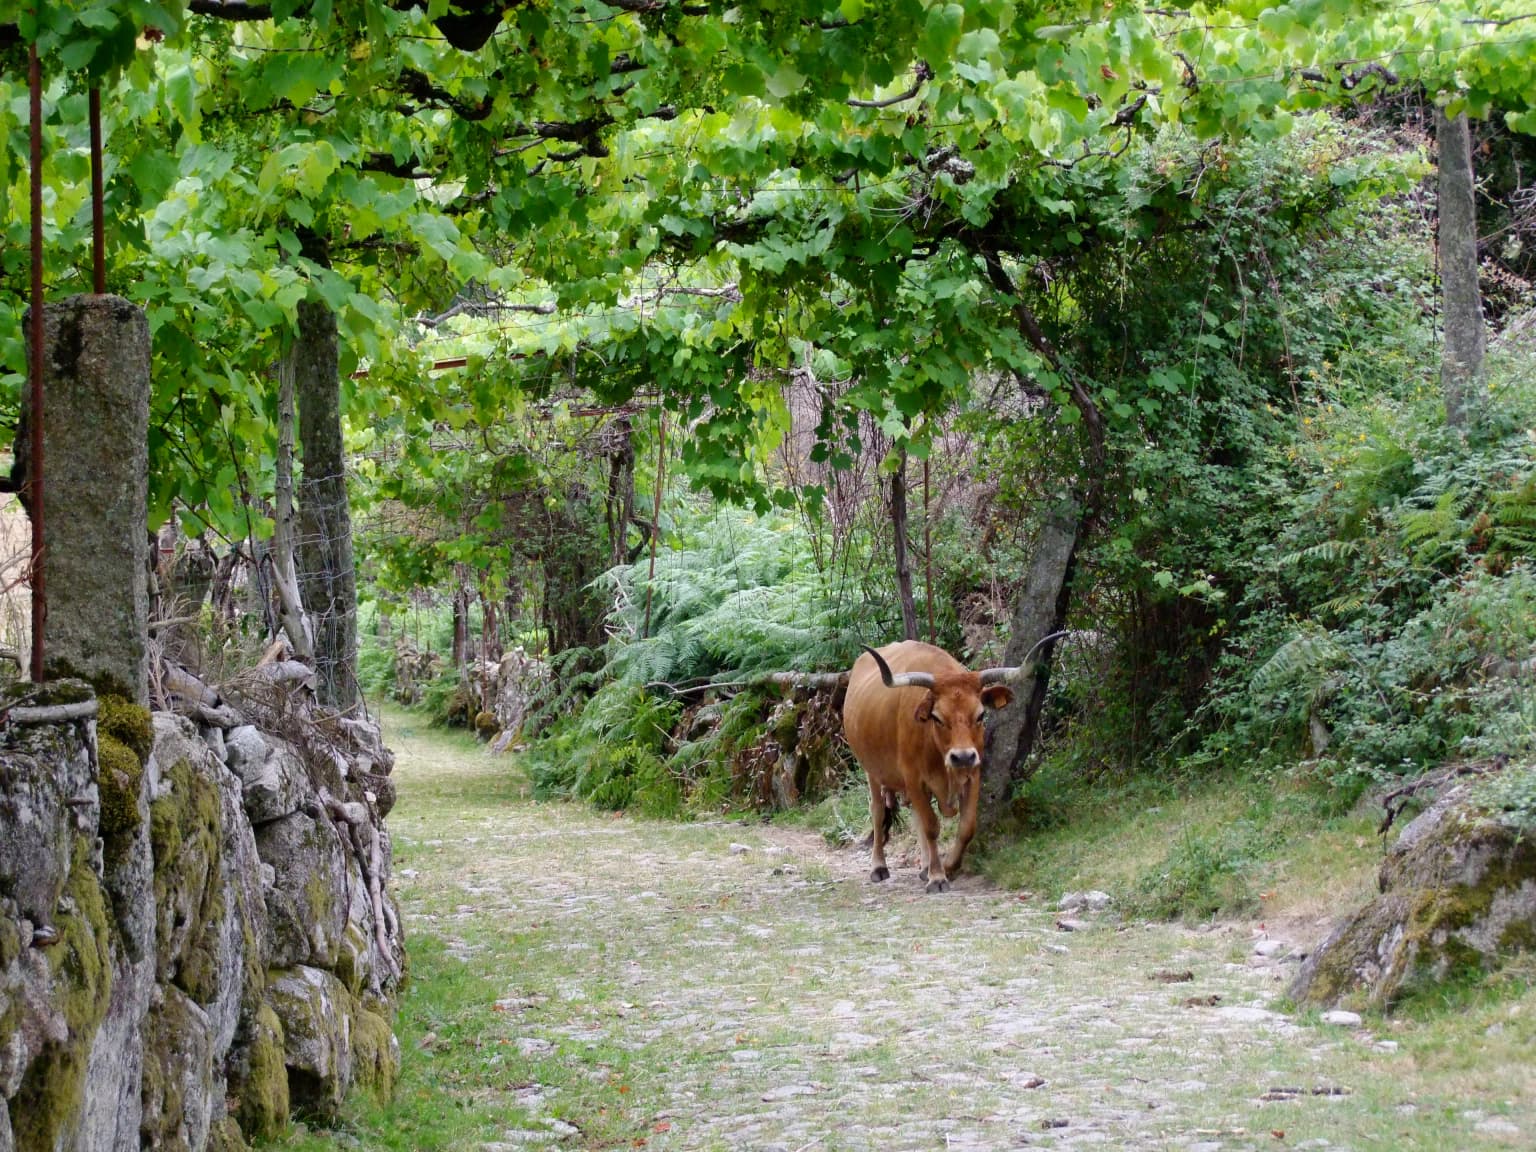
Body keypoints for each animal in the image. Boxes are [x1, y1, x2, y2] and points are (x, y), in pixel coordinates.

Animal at [841, 641, 1024, 893]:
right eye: (937, 717)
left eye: (980, 715)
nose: (962, 757)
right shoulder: (913, 778)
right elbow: (931, 826)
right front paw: (937, 877)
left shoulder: (972, 775)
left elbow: (967, 827)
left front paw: (947, 867)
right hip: (872, 772)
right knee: (878, 812)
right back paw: (878, 866)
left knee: (915, 815)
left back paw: (925, 866)